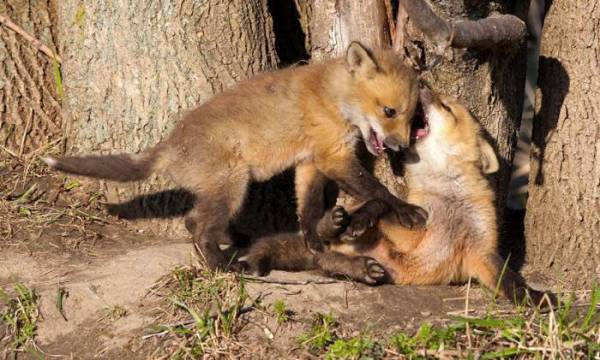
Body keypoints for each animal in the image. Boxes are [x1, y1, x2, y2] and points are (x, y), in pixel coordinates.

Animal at [44, 41, 428, 270]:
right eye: (389, 111)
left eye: (412, 117)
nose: (401, 148)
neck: (333, 97)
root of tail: (169, 145)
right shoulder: (332, 156)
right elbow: (377, 189)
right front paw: (405, 210)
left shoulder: (308, 162)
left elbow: (307, 207)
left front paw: (314, 239)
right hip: (233, 186)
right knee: (199, 228)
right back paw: (223, 268)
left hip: (223, 190)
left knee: (194, 222)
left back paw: (233, 245)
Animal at [240, 88, 552, 306]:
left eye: (446, 107)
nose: (421, 83)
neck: (449, 198)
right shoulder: (413, 233)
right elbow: (386, 203)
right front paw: (363, 216)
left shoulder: (480, 250)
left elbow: (510, 280)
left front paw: (535, 299)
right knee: (324, 251)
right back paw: (335, 227)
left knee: (326, 261)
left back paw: (358, 264)